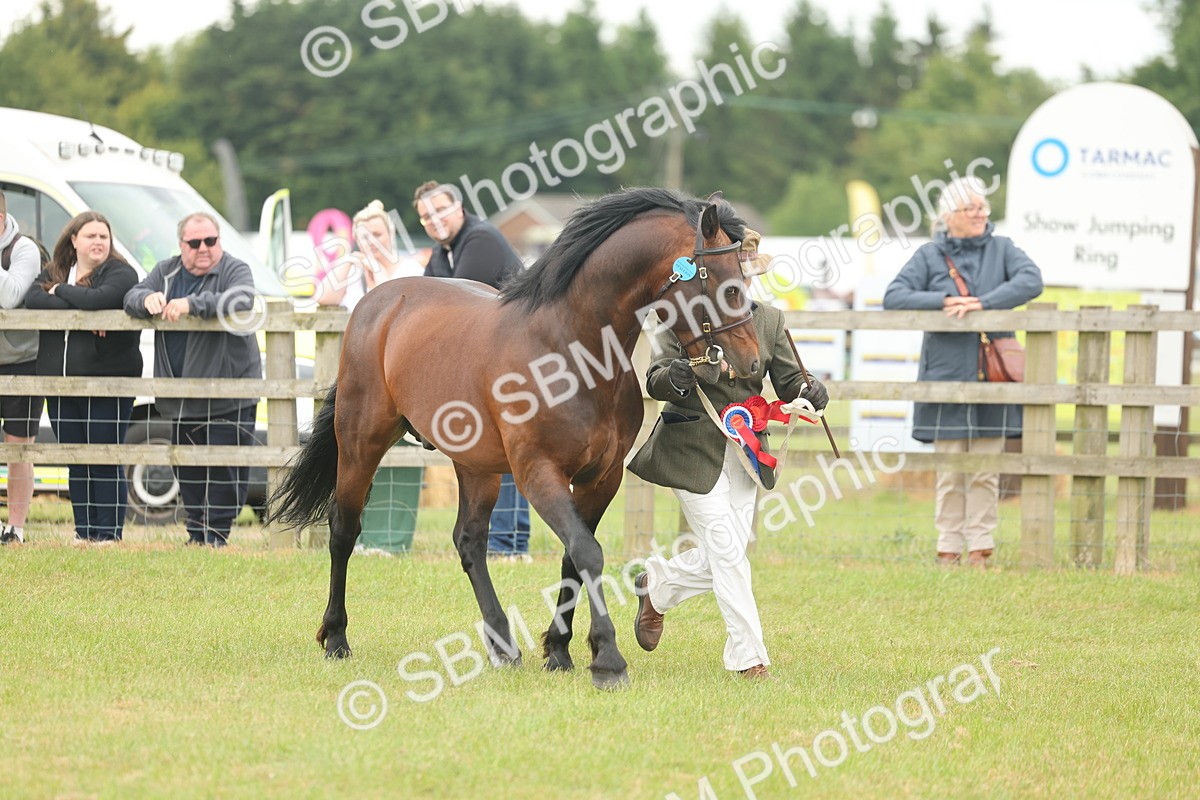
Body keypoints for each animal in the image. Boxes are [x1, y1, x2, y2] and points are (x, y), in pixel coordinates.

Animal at [270, 187, 760, 689]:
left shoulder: (601, 478)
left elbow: (572, 558)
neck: (570, 349)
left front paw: (559, 649)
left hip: (476, 465)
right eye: (728, 285)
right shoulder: (537, 473)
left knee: (469, 541)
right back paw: (336, 637)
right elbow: (588, 552)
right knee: (344, 529)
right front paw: (607, 658)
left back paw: (503, 645)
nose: (751, 361)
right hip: (361, 444)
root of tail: (378, 301)